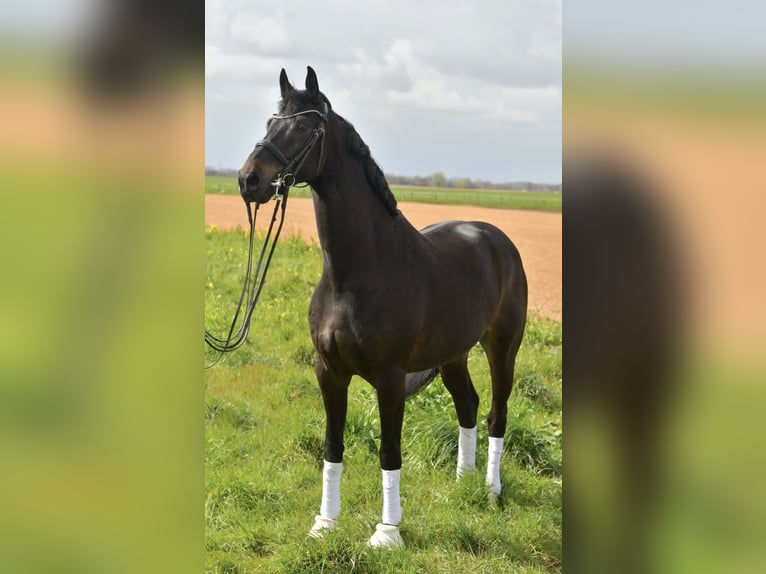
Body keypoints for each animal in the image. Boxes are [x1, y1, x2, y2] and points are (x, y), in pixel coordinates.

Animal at [238, 67, 528, 548]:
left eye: (304, 127)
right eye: (269, 123)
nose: (249, 180)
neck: (358, 271)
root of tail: (495, 238)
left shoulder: (390, 378)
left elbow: (390, 452)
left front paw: (388, 532)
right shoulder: (329, 371)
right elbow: (332, 446)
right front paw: (325, 524)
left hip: (502, 347)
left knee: (495, 413)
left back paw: (490, 492)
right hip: (453, 353)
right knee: (467, 404)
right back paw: (461, 486)